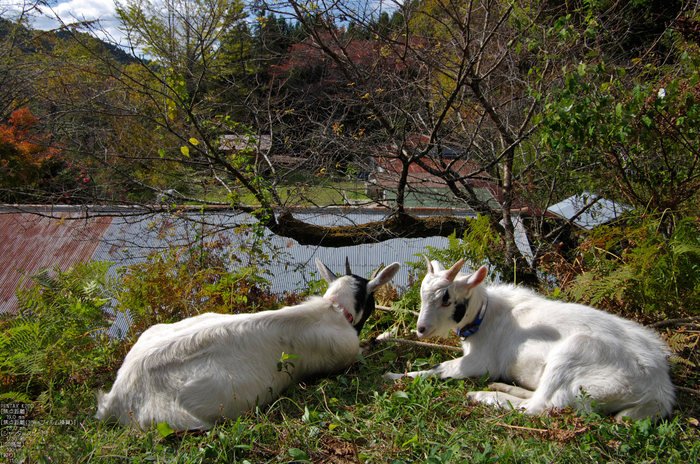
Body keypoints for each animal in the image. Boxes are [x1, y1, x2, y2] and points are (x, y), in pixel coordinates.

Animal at [96, 258, 400, 432]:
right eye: (373, 299)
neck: (334, 311)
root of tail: (116, 397)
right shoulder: (345, 357)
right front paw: (383, 338)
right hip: (183, 422)